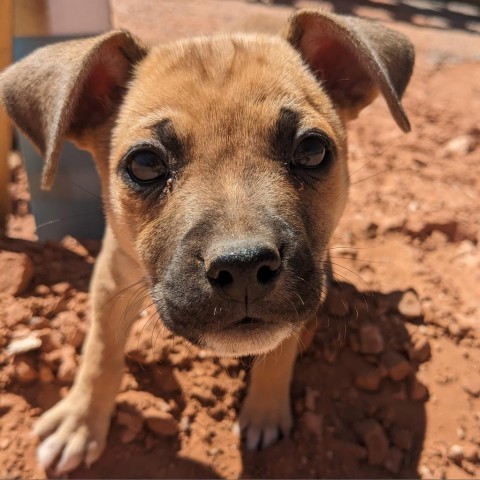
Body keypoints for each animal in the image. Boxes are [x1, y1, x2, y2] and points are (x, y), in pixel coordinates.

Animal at [0, 9, 412, 474]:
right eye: (144, 163)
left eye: (311, 150)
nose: (244, 267)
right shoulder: (110, 276)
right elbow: (100, 354)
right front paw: (81, 422)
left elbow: (280, 349)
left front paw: (264, 411)